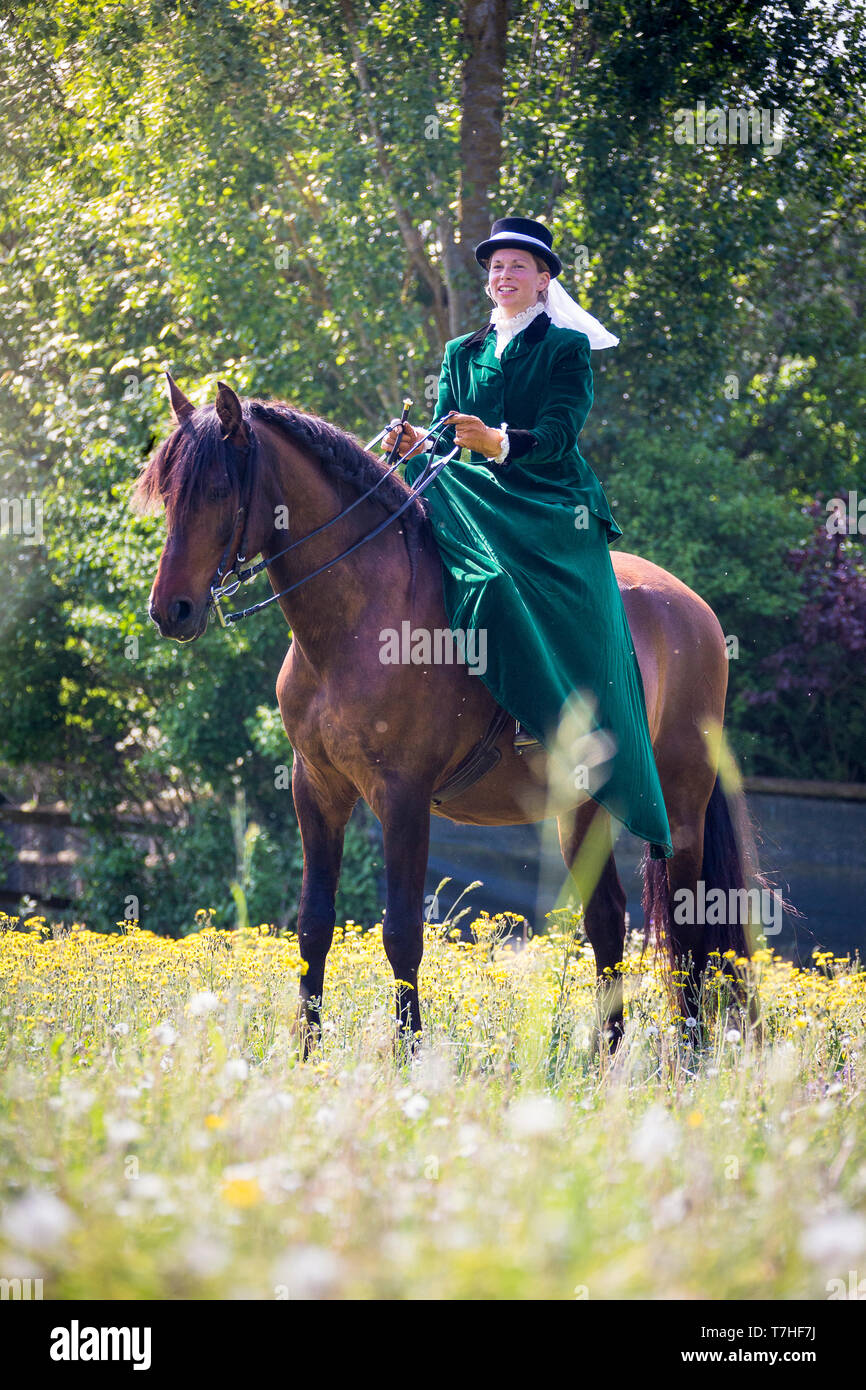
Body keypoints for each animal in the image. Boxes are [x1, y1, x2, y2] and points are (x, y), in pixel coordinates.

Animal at [136, 380, 756, 1050]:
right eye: (168, 491)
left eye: (217, 489)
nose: (170, 611)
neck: (358, 620)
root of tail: (696, 609)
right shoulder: (317, 790)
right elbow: (313, 926)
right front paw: (305, 1055)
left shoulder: (403, 795)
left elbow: (402, 933)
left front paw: (407, 1055)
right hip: (583, 807)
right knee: (609, 921)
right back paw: (607, 1059)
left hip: (682, 806)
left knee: (688, 932)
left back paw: (687, 1057)